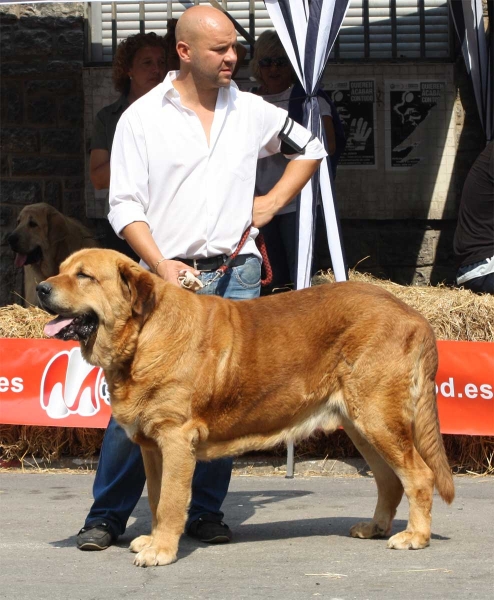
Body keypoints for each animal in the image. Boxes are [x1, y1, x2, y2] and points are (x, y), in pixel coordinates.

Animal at [37, 248, 456, 568]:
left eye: (84, 275)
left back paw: (414, 536)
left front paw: (161, 551)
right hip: (361, 425)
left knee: (419, 476)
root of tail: (413, 315)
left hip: (377, 419)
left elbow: (170, 501)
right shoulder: (151, 447)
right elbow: (155, 499)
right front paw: (153, 540)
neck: (142, 337)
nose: (40, 287)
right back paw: (375, 528)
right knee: (389, 480)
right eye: (61, 269)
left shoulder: (175, 440)